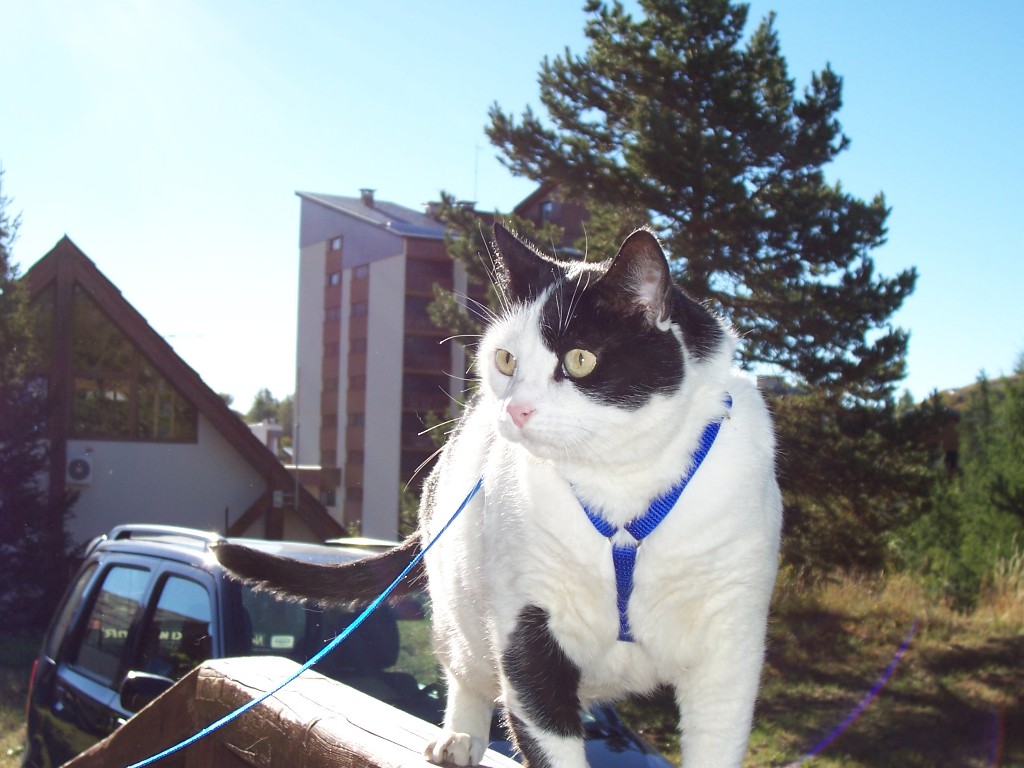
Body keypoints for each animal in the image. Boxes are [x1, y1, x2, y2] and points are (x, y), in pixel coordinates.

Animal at [211, 224, 778, 768]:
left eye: (580, 359)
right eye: (506, 360)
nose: (516, 410)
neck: (622, 488)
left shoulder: (730, 643)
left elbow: (717, 741)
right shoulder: (526, 628)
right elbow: (543, 727)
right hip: (458, 609)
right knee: (464, 671)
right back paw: (459, 738)